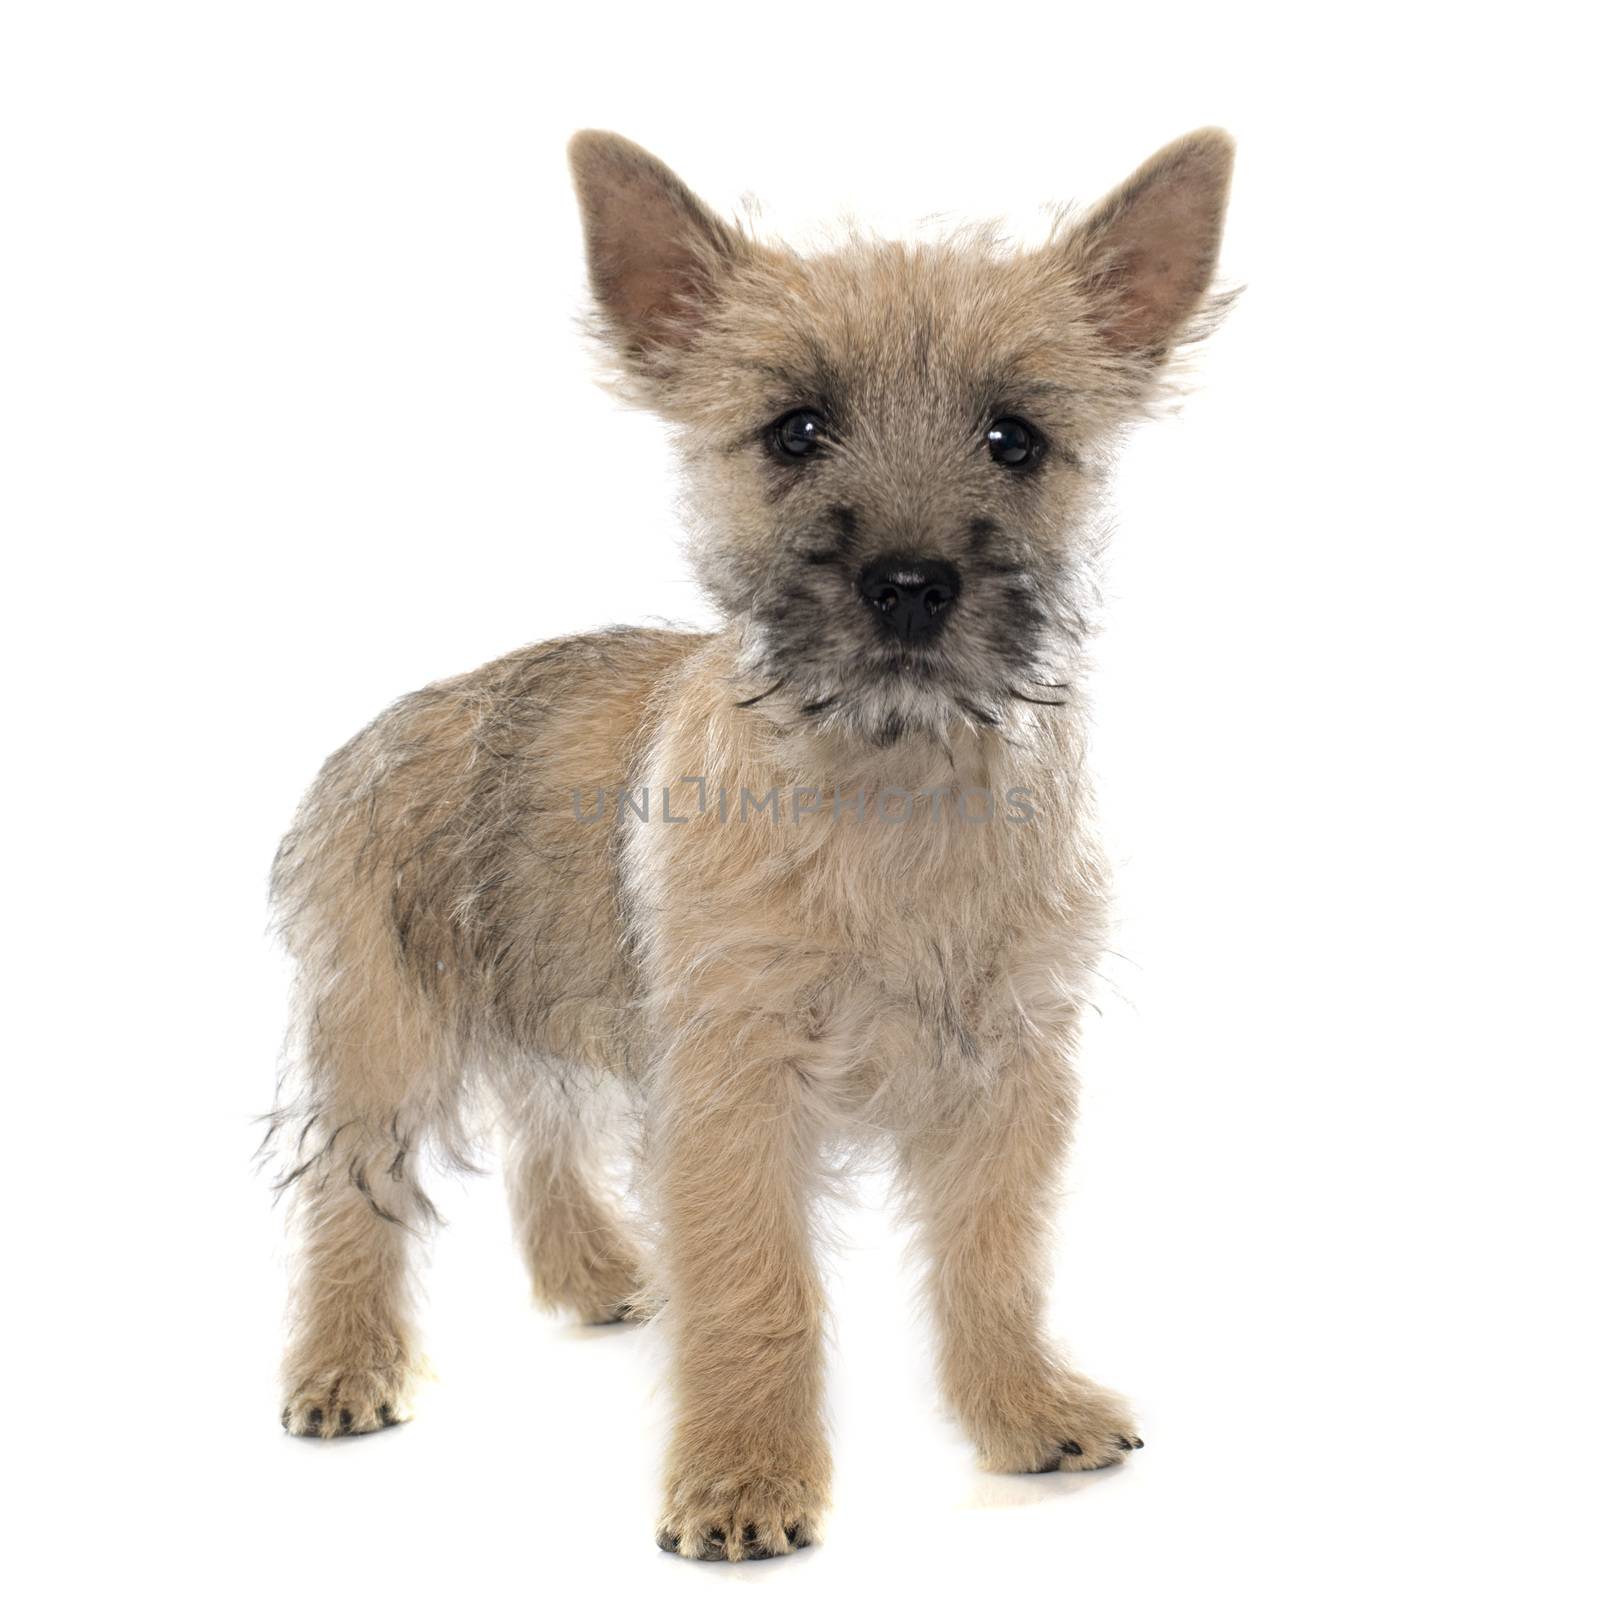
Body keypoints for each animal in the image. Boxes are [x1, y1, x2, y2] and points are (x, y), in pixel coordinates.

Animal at [265, 128, 1235, 1561]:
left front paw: (1020, 1406)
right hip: (382, 1030)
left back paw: (599, 1271)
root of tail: (384, 725)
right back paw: (343, 1365)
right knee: (351, 1196)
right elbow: (757, 1284)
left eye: (1015, 438)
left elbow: (994, 1261)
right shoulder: (737, 1081)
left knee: (545, 1122)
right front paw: (743, 1479)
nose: (909, 585)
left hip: (557, 993)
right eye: (795, 431)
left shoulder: (1007, 1071)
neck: (891, 788)